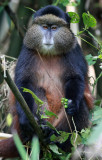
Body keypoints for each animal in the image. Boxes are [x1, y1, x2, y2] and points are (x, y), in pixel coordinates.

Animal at [0, 5, 93, 159]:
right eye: (44, 27)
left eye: (54, 28)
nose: (48, 36)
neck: (50, 54)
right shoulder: (27, 51)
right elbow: (23, 84)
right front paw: (26, 119)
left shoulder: (74, 50)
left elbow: (75, 79)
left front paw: (72, 103)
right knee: (37, 91)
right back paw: (41, 130)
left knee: (81, 107)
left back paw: (57, 139)